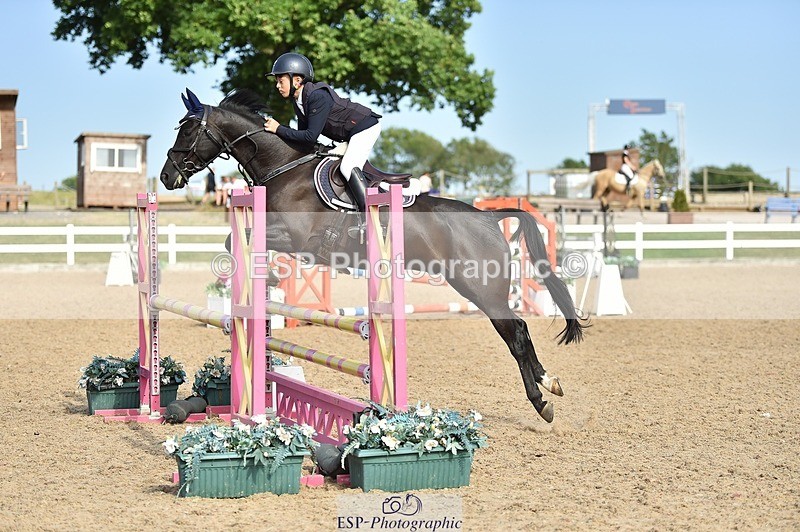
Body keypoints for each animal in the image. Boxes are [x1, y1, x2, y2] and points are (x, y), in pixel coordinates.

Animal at [158, 89, 588, 423]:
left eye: (189, 130)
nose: (166, 177)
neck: (284, 168)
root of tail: (489, 216)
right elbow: (239, 241)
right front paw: (269, 282)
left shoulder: (298, 236)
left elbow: (242, 240)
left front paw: (274, 280)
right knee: (520, 331)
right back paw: (549, 383)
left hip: (481, 288)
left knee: (516, 333)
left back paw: (541, 399)